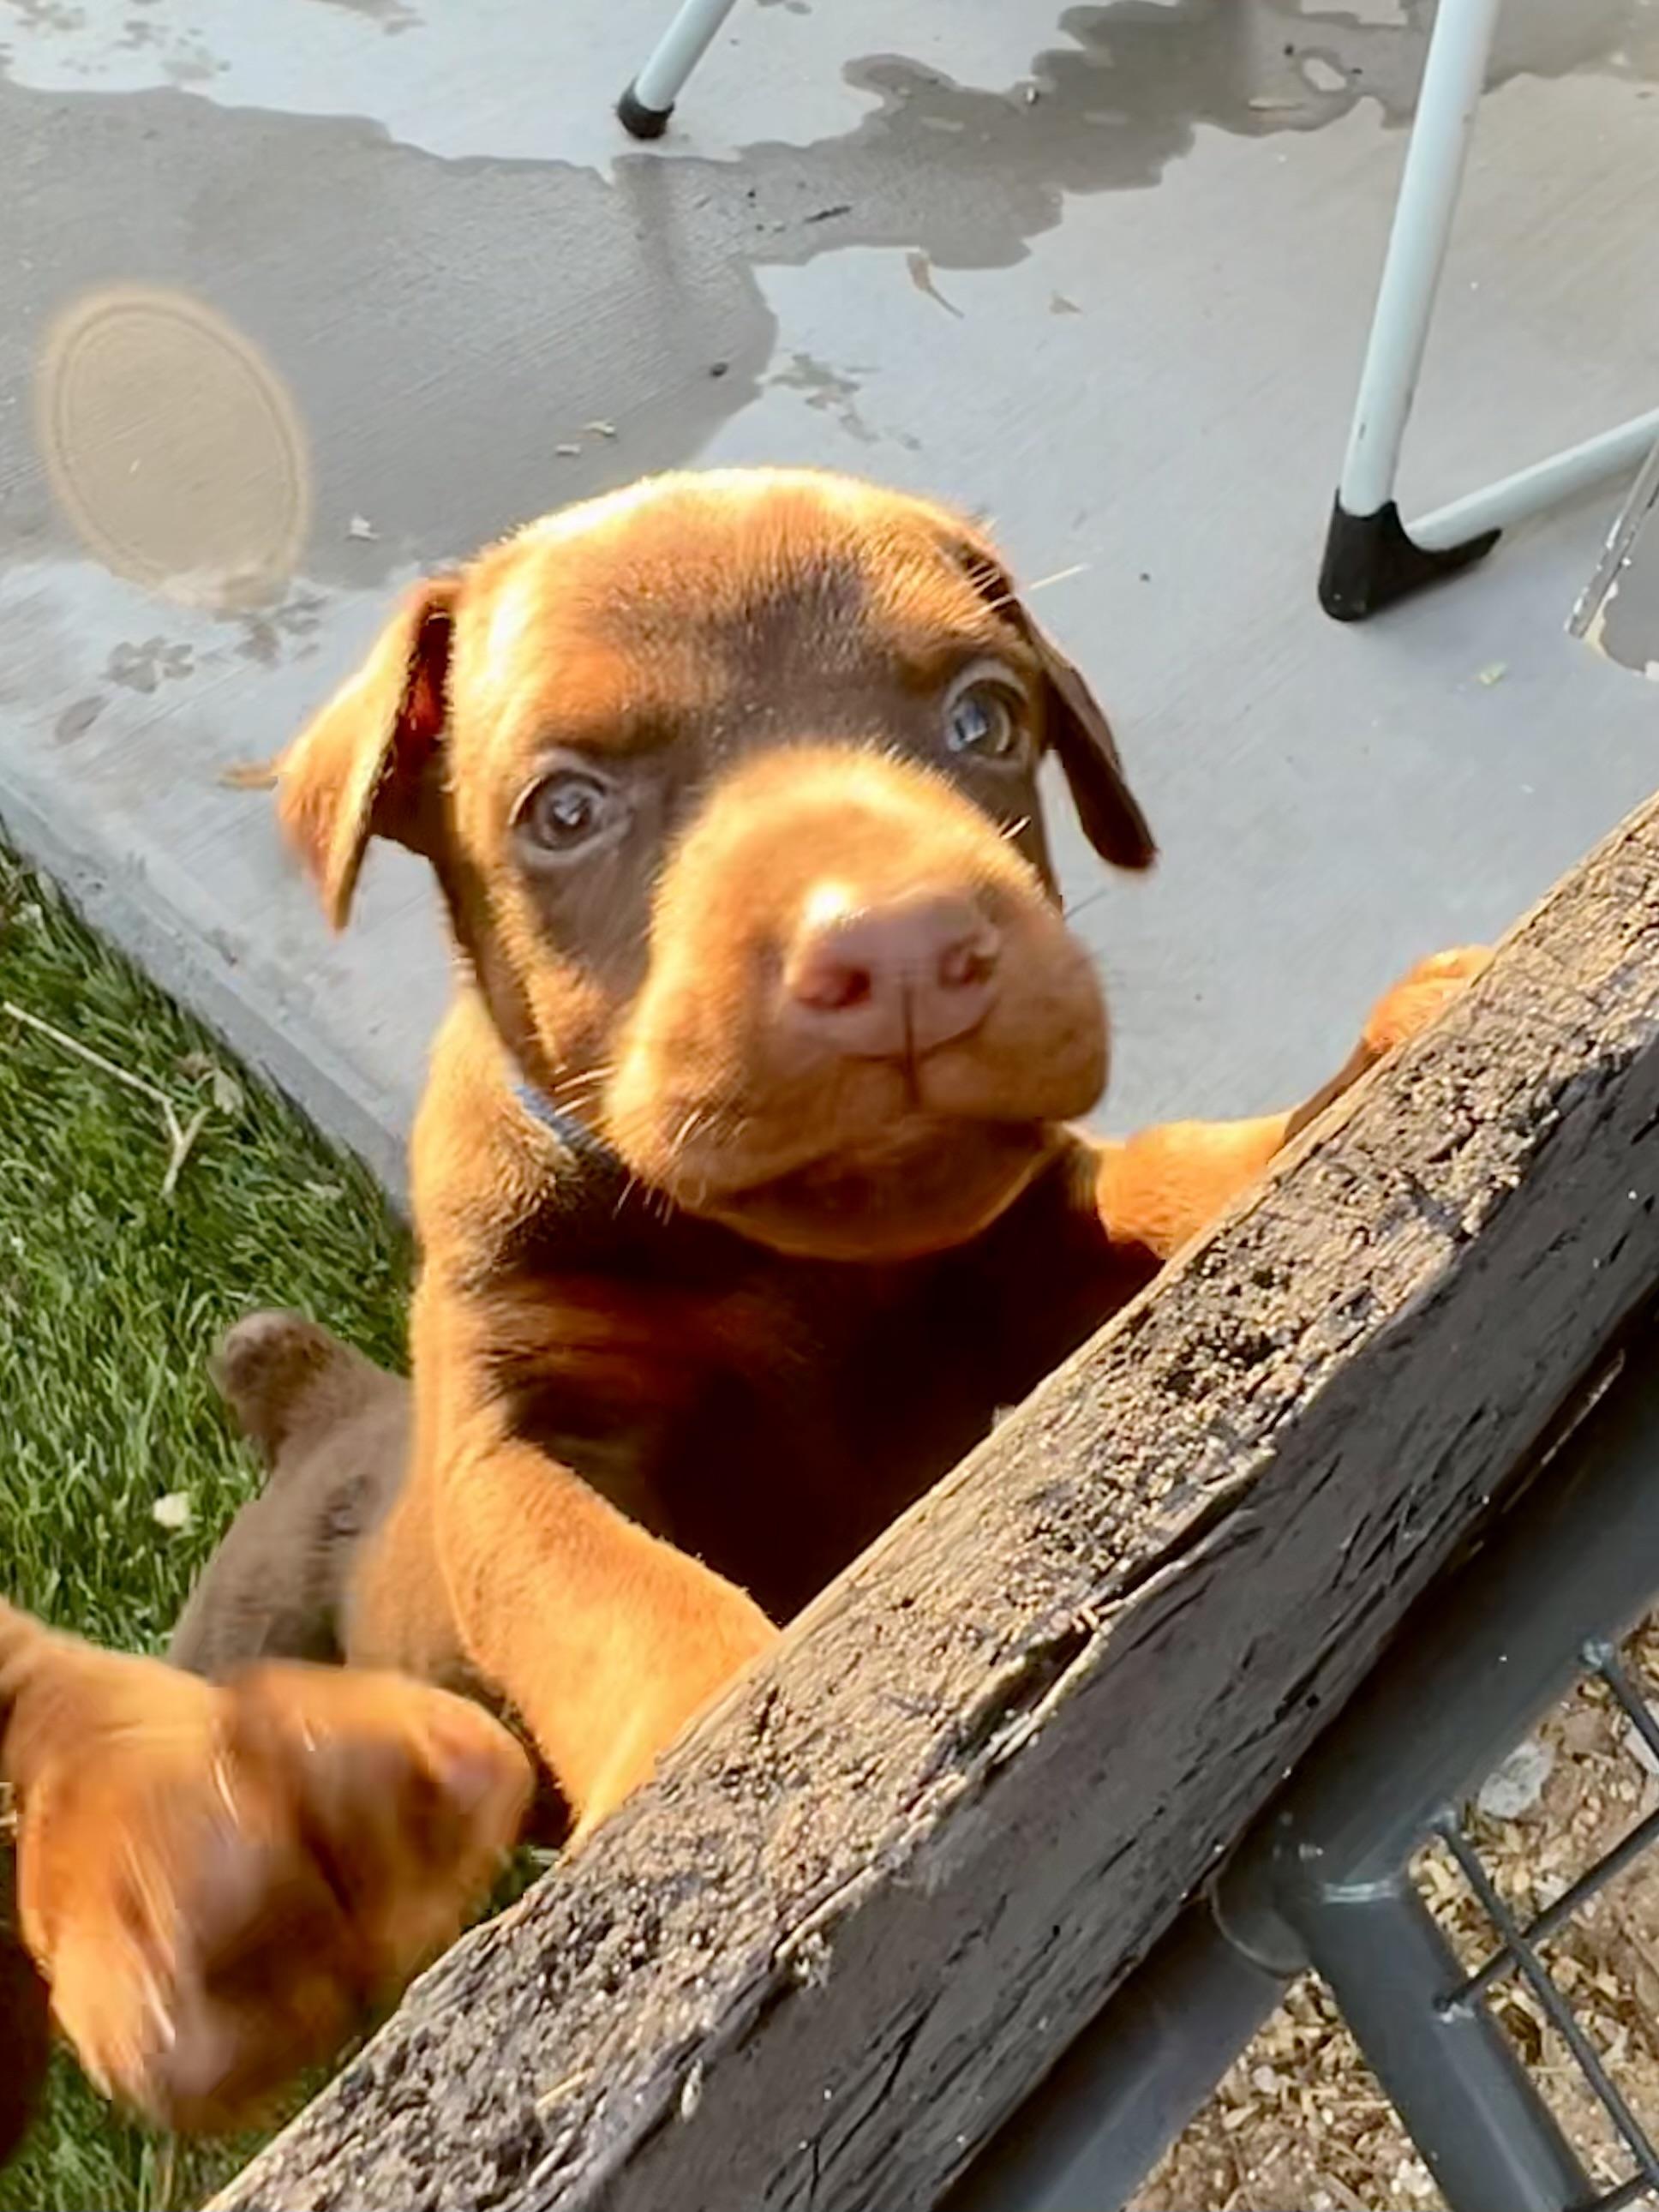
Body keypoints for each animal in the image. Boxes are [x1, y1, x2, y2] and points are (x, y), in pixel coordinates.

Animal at [7, 467, 1487, 2136]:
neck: (783, 1261)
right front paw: (709, 1753)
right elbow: (613, 1587)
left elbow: (1175, 1177)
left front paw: (1366, 1066)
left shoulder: (1029, 1248)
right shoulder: (512, 1438)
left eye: (986, 717)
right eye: (565, 809)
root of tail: (315, 1407)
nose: (901, 946)